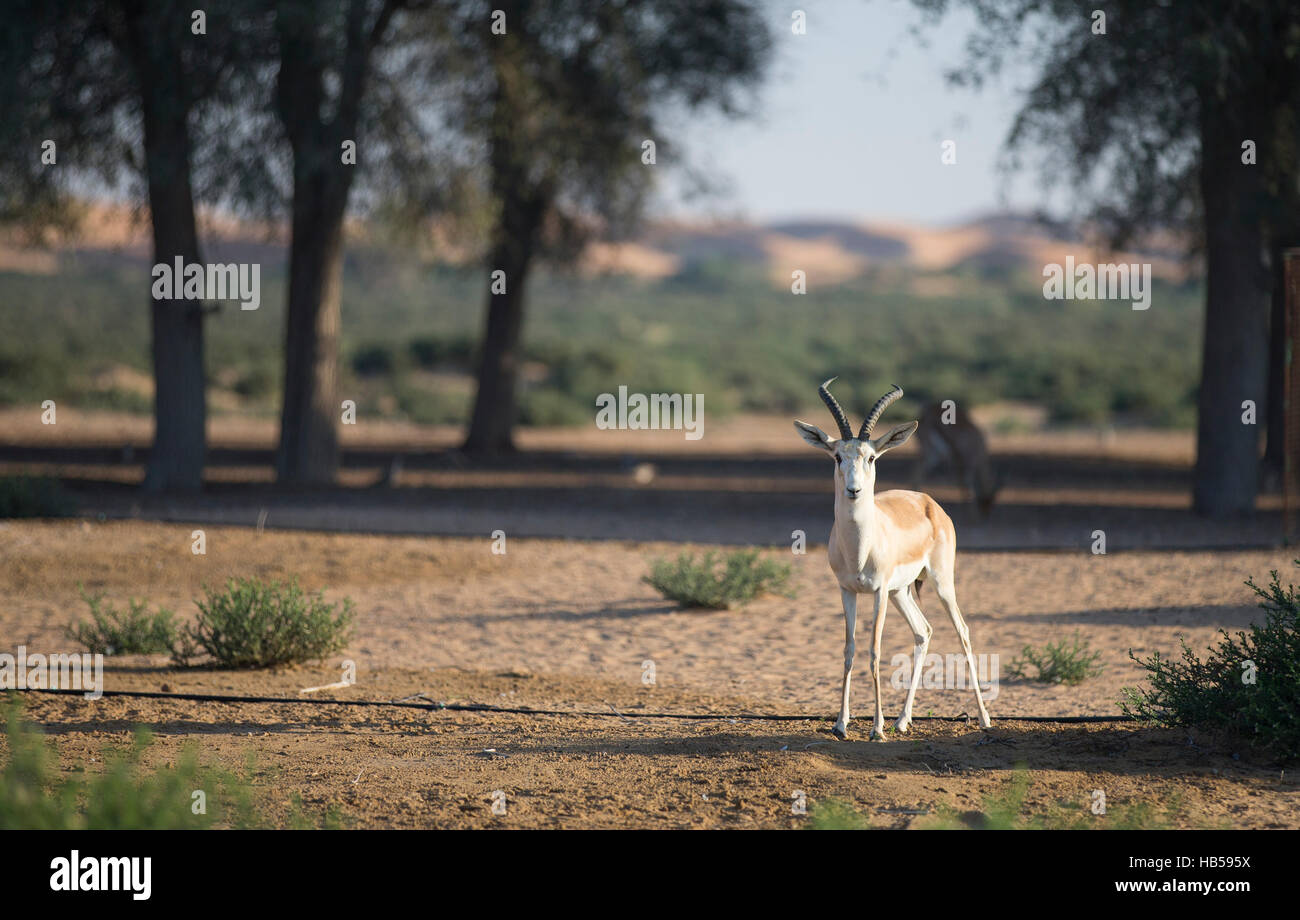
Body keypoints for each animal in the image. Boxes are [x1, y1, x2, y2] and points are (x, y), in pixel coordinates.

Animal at [794, 380, 992, 740]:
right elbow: (849, 650)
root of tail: (928, 501)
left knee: (963, 631)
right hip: (902, 592)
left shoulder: (878, 591)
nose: (854, 490)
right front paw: (841, 724)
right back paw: (903, 719)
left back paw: (984, 718)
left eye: (871, 457)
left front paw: (876, 728)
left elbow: (875, 652)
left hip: (940, 583)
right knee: (924, 631)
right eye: (837, 456)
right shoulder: (847, 591)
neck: (859, 549)